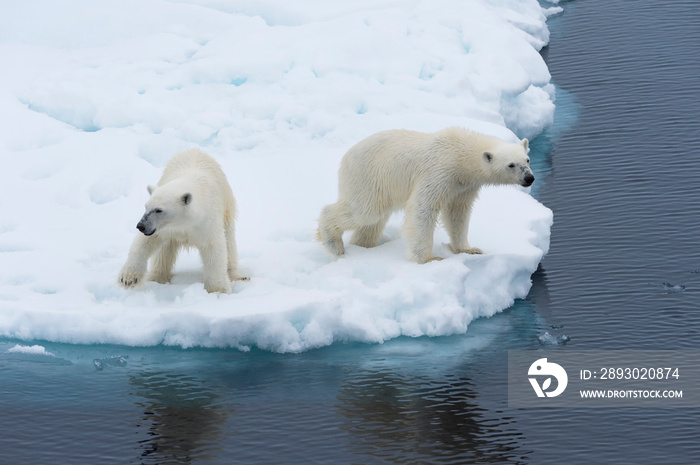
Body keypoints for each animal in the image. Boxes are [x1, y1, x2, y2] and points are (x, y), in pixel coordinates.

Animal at [117, 150, 243, 294]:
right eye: (146, 206)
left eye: (159, 210)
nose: (141, 226)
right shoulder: (165, 228)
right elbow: (145, 242)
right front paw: (128, 278)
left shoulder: (207, 222)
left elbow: (213, 248)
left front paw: (218, 290)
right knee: (163, 252)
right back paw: (157, 277)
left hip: (227, 207)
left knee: (229, 241)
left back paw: (237, 276)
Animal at [318, 127, 536, 262]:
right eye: (511, 165)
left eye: (527, 159)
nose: (529, 178)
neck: (461, 155)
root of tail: (346, 156)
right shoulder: (439, 171)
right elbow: (423, 207)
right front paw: (429, 259)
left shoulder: (463, 185)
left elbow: (458, 213)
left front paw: (469, 249)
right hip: (368, 177)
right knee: (364, 211)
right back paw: (334, 244)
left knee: (373, 221)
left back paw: (365, 245)